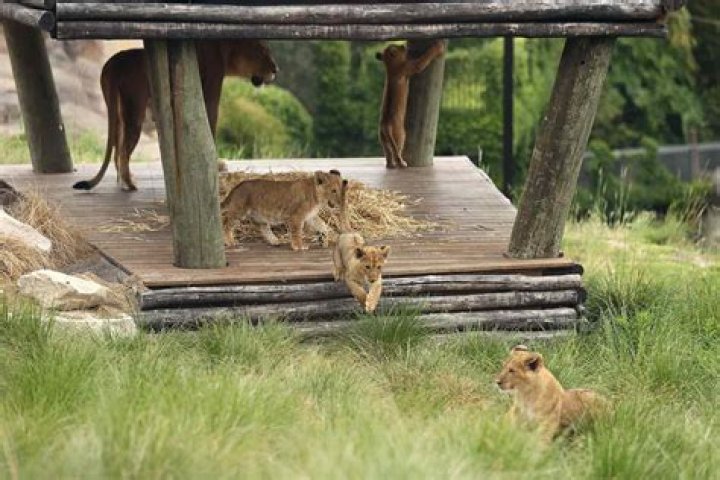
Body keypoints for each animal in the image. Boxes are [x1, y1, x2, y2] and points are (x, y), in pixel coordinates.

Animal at [73, 40, 278, 192]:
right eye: (263, 51)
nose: (276, 70)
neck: (226, 50)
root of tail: (114, 63)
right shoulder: (211, 89)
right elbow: (211, 124)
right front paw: (216, 163)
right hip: (134, 110)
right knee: (123, 151)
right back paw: (129, 184)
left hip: (117, 112)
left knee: (117, 147)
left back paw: (125, 181)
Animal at [376, 40, 444, 168]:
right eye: (399, 47)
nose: (404, 45)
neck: (391, 67)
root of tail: (386, 125)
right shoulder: (411, 66)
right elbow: (425, 58)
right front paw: (438, 46)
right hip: (401, 136)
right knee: (397, 152)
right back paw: (402, 163)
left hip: (384, 141)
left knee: (388, 154)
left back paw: (391, 165)